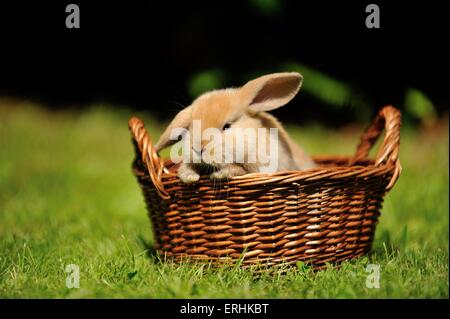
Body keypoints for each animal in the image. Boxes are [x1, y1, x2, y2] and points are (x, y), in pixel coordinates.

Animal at [155, 71, 316, 184]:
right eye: (190, 127)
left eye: (227, 126)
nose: (198, 148)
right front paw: (189, 176)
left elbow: (239, 170)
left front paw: (219, 174)